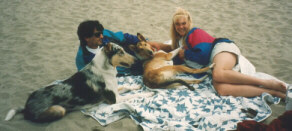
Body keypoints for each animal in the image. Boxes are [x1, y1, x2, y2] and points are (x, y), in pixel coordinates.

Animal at [4, 43, 154, 123]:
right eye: (121, 52)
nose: (136, 60)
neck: (105, 69)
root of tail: (26, 106)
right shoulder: (115, 99)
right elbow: (134, 95)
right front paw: (148, 93)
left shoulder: (116, 91)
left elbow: (127, 86)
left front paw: (137, 86)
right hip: (59, 109)